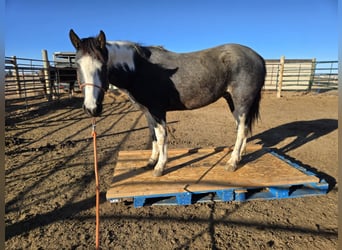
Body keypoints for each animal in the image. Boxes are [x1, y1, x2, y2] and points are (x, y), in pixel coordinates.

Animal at [69, 29, 266, 177]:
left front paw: (160, 167)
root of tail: (258, 57)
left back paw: (232, 162)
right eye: (77, 65)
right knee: (243, 128)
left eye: (102, 65)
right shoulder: (148, 112)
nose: (92, 108)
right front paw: (151, 161)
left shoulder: (158, 110)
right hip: (233, 102)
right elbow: (153, 135)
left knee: (241, 130)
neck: (139, 69)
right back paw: (240, 156)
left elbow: (162, 135)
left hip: (242, 102)